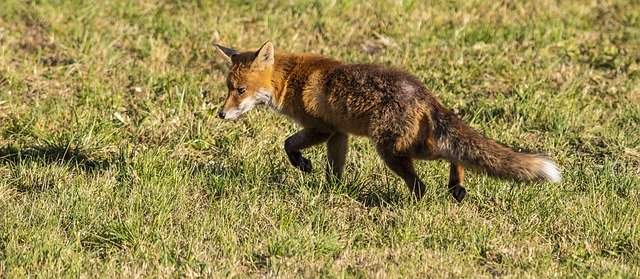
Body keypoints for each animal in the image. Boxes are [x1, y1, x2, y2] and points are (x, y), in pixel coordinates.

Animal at [214, 41, 560, 202]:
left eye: (240, 90)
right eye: (228, 88)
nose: (220, 114)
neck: (290, 80)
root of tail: (425, 94)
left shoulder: (322, 128)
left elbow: (288, 144)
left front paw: (302, 164)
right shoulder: (339, 133)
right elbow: (334, 168)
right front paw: (333, 190)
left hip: (391, 150)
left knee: (423, 183)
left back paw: (411, 205)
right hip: (413, 146)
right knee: (455, 153)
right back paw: (456, 187)